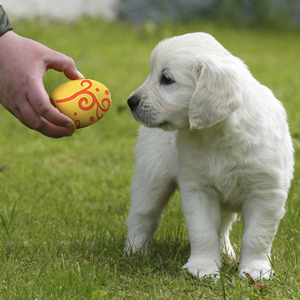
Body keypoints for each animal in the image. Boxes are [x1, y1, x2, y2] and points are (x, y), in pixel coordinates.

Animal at [125, 31, 294, 280]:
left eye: (166, 79)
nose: (131, 102)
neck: (217, 135)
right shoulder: (198, 188)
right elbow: (202, 231)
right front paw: (203, 268)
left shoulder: (266, 192)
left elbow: (257, 236)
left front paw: (255, 269)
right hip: (152, 175)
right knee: (143, 215)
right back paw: (134, 251)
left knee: (222, 226)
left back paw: (225, 253)